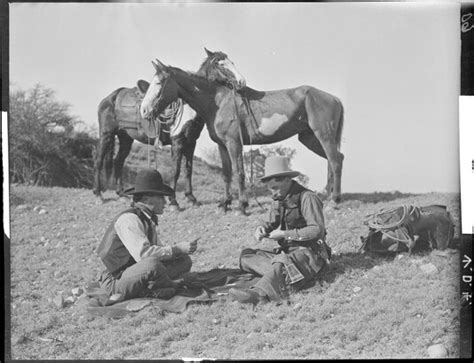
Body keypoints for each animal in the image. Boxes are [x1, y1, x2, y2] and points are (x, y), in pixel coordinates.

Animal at [92, 49, 244, 208]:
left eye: (231, 62)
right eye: (219, 64)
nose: (241, 82)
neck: (189, 106)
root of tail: (111, 97)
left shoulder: (191, 142)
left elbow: (188, 169)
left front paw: (191, 198)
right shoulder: (177, 142)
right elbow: (175, 171)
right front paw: (173, 202)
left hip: (125, 138)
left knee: (118, 162)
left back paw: (121, 194)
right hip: (107, 134)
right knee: (98, 160)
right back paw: (98, 195)